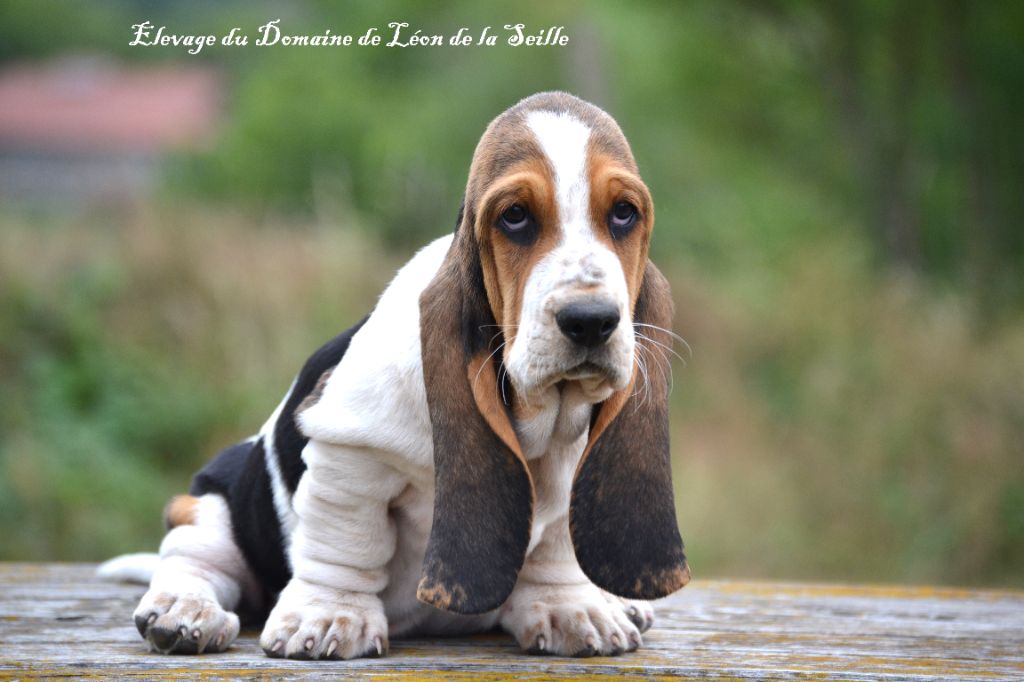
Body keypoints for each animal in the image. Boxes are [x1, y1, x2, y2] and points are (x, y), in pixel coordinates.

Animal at [102, 91, 689, 659]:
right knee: (190, 561)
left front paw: (570, 608)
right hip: (208, 509)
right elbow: (346, 542)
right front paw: (330, 615)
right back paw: (183, 612)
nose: (591, 321)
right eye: (515, 216)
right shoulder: (350, 458)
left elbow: (554, 549)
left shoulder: (569, 469)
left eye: (623, 214)